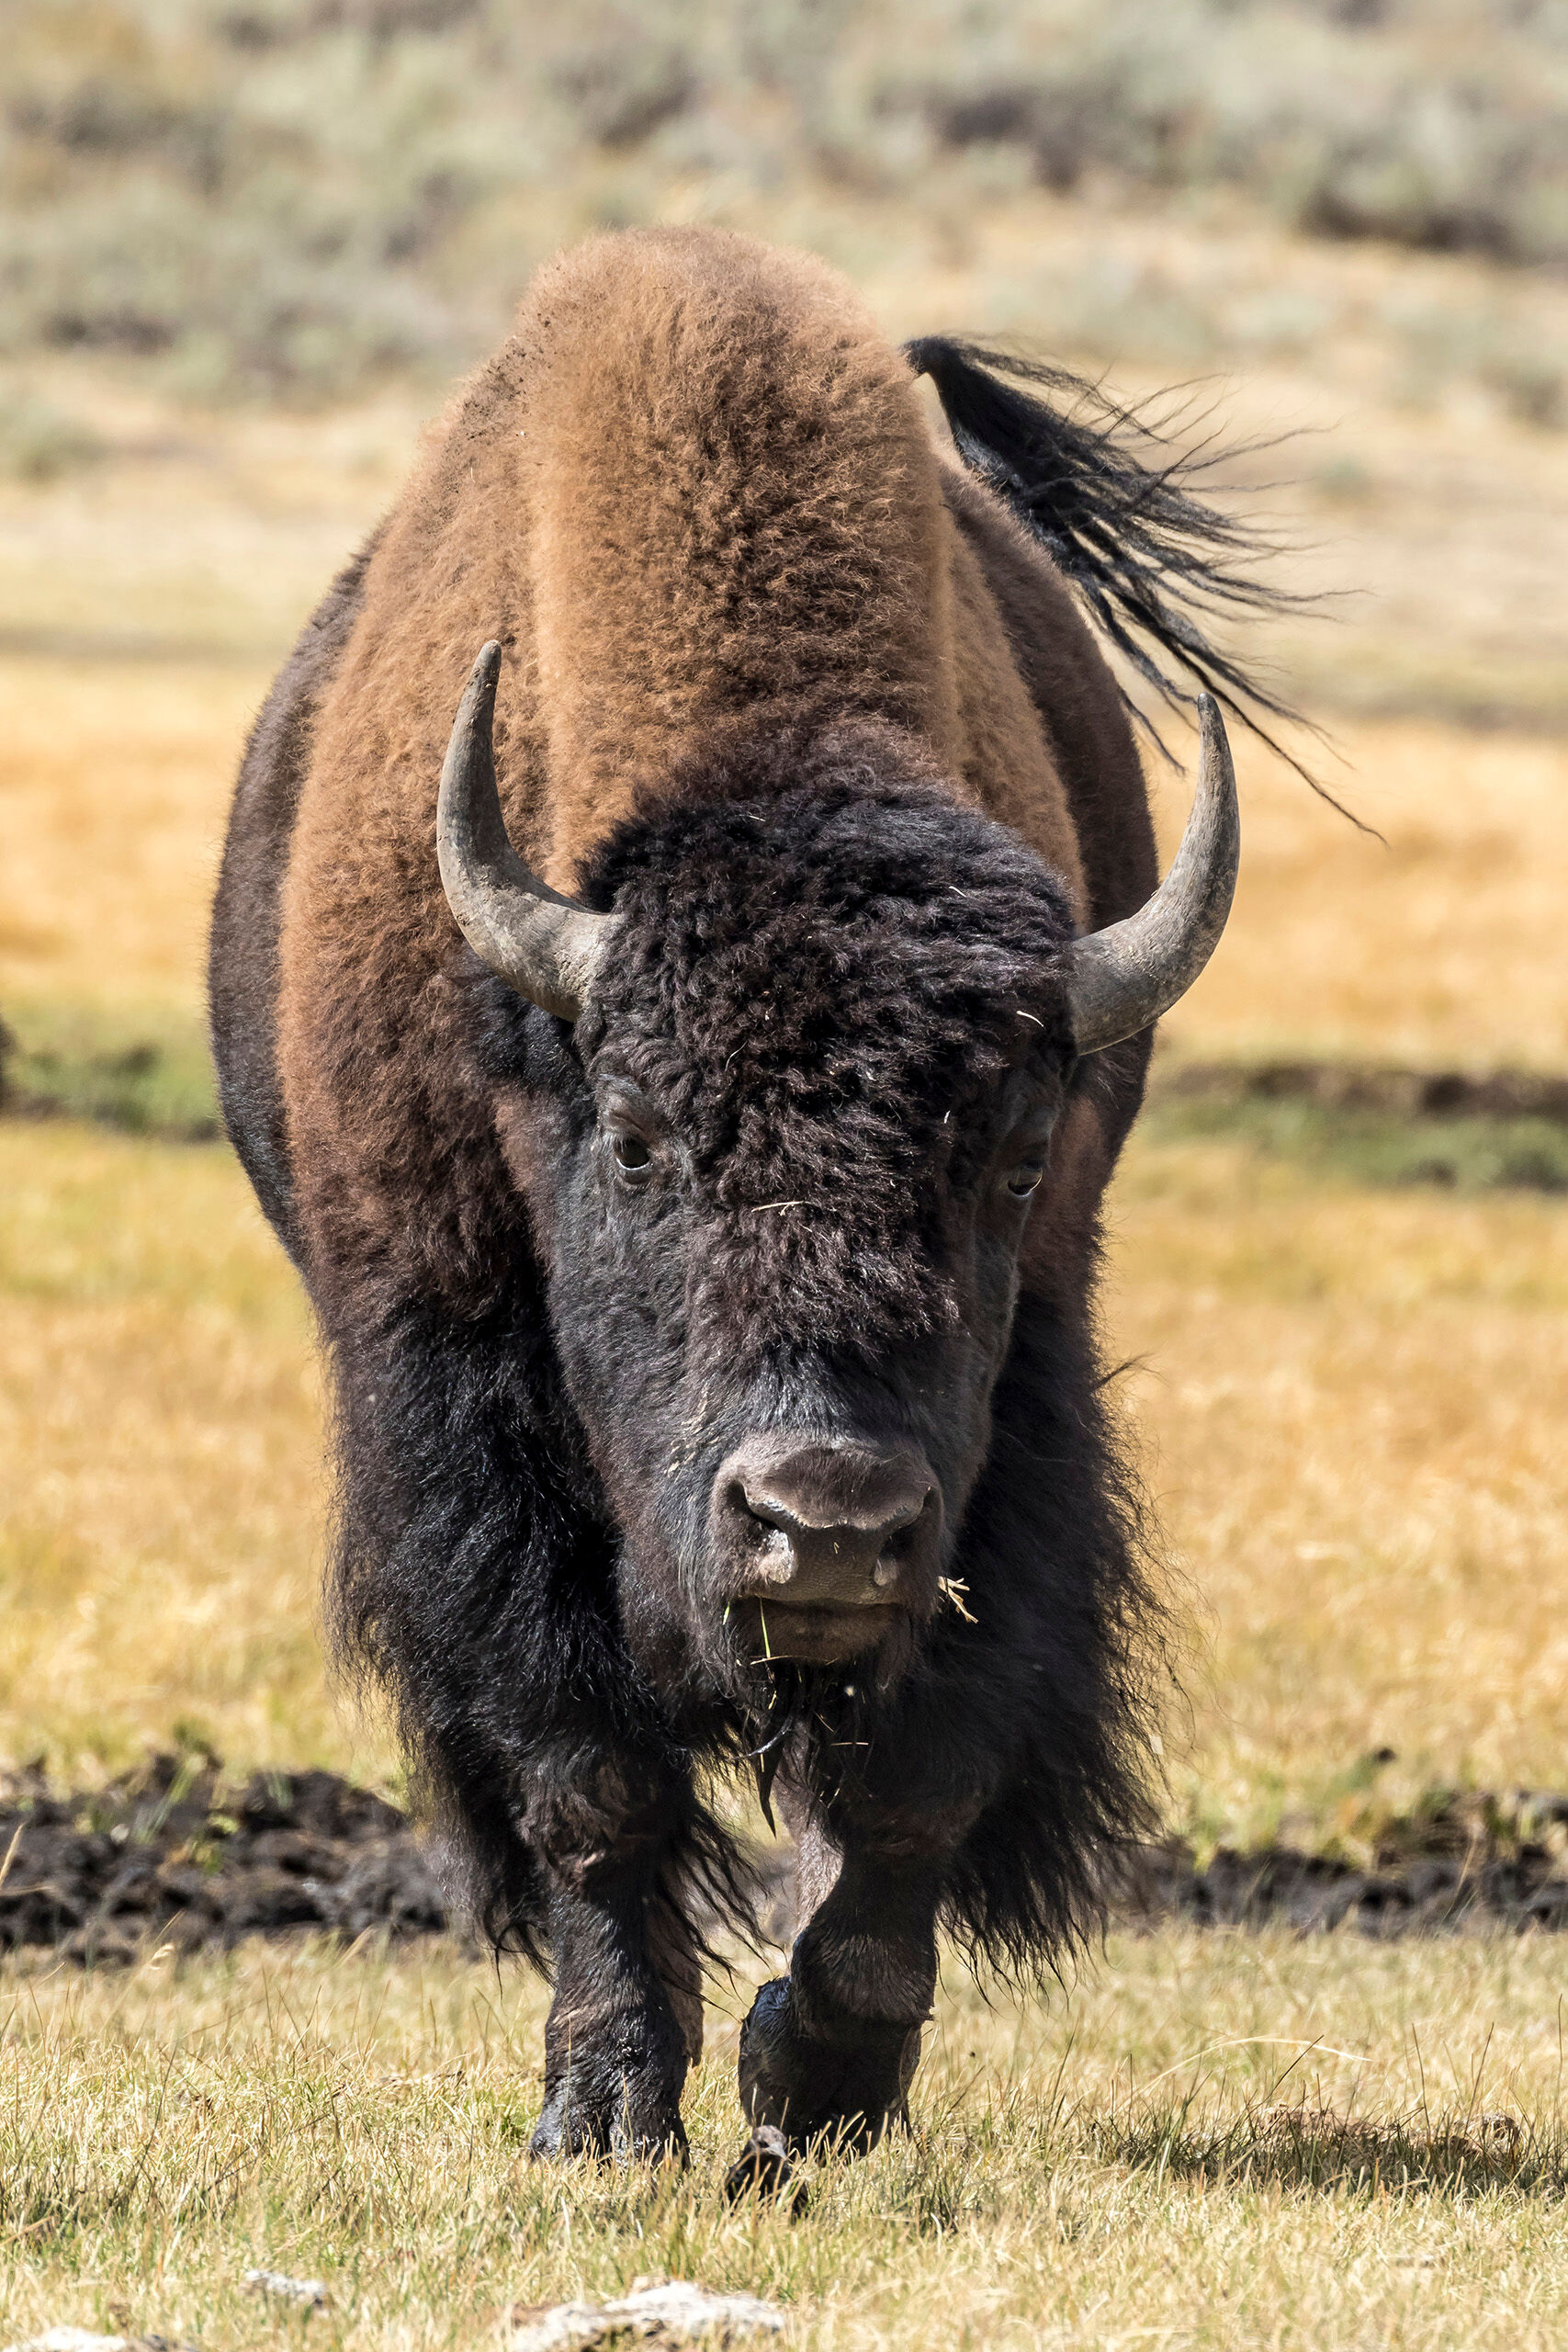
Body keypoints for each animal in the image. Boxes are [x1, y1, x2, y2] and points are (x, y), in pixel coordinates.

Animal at [209, 226, 1285, 2183]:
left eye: (1013, 1156)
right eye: (637, 1140)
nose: (825, 1523)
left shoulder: (1015, 1417)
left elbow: (917, 1779)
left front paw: (814, 2085)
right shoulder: (455, 1397)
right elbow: (585, 1772)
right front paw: (603, 2111)